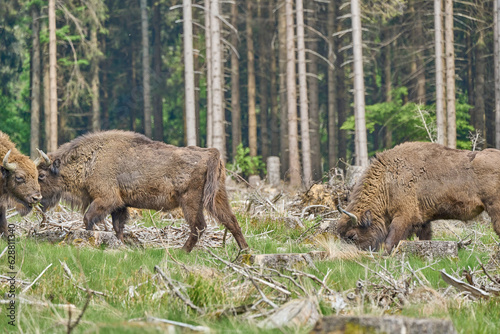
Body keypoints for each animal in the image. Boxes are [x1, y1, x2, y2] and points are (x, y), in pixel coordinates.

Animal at [36, 129, 250, 252]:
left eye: (42, 175)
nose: (36, 199)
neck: (93, 158)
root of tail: (210, 153)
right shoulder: (120, 205)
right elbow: (118, 227)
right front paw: (121, 245)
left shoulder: (106, 199)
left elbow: (88, 219)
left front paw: (90, 240)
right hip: (218, 196)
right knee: (231, 221)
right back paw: (245, 252)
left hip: (191, 201)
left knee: (199, 226)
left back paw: (181, 251)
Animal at [338, 142, 500, 252]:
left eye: (352, 235)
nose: (354, 254)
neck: (388, 179)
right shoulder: (423, 219)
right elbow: (425, 237)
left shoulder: (404, 216)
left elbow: (391, 239)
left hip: (494, 208)